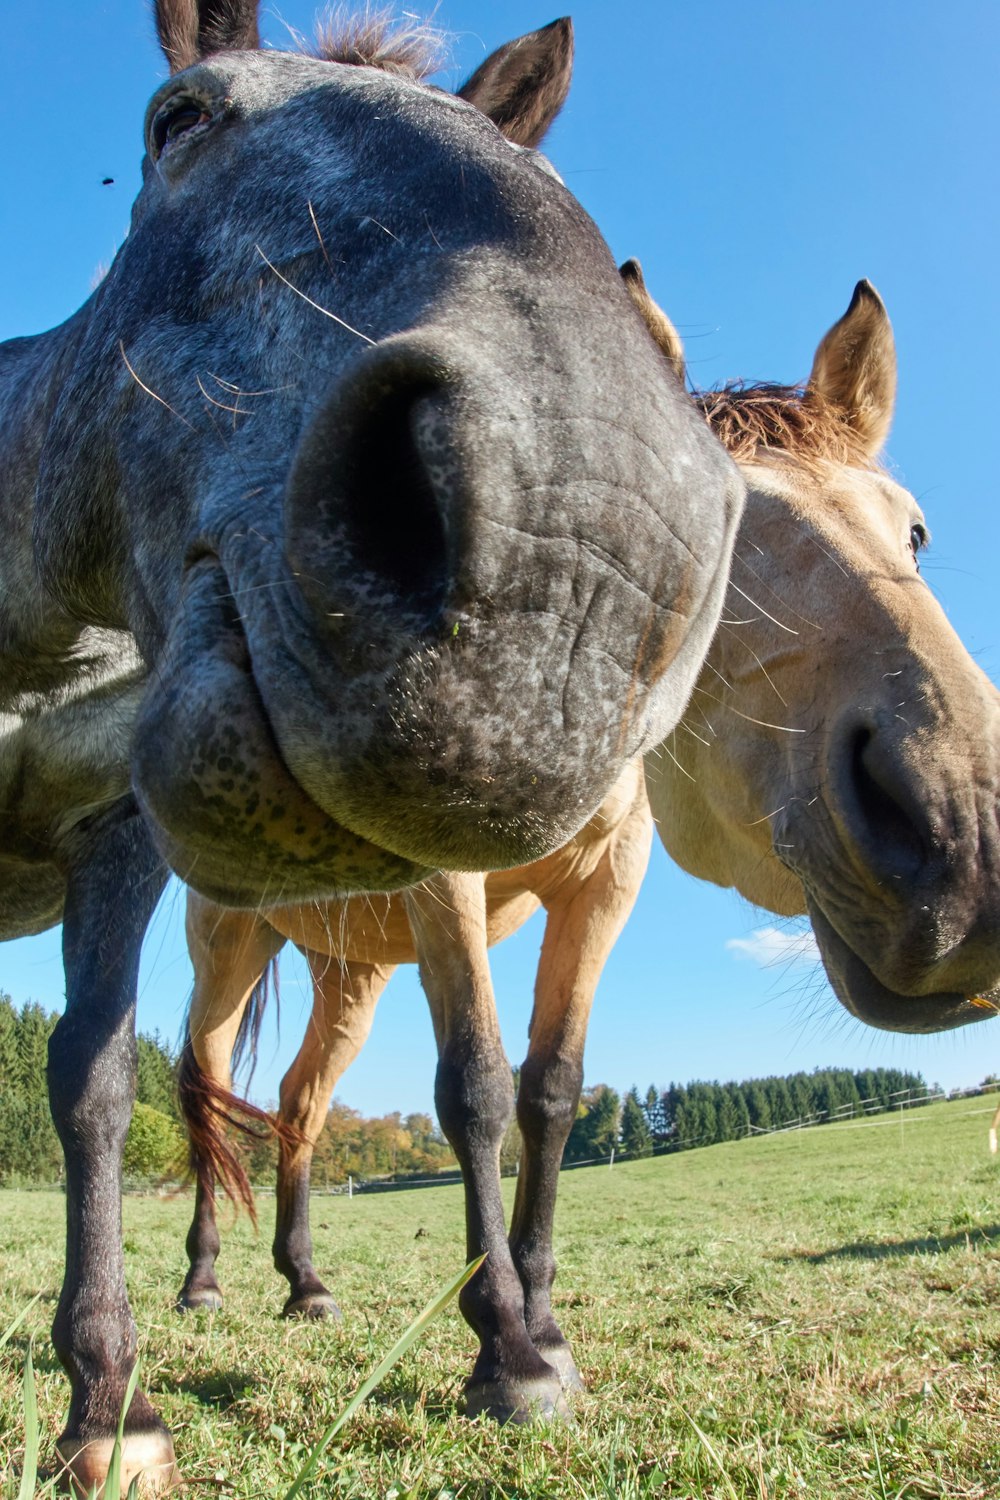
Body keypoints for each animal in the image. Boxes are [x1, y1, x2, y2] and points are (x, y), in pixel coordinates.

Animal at [179, 279, 1000, 1416]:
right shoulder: (451, 884)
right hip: (227, 945)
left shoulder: (605, 888)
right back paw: (201, 1283)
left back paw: (305, 1286)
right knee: (202, 1091)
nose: (963, 840)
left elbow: (553, 1090)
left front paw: (545, 1323)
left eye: (914, 530)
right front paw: (506, 1351)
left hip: (352, 970)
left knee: (298, 1110)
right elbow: (475, 1088)